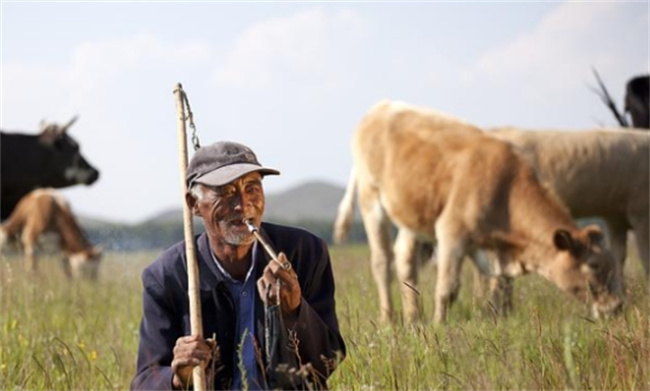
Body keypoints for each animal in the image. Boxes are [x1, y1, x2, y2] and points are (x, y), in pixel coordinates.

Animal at [334, 100, 624, 324]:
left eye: (612, 262)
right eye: (593, 265)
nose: (616, 307)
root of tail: (381, 107)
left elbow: (500, 288)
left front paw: (497, 319)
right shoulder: (451, 233)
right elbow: (448, 288)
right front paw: (439, 325)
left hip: (412, 214)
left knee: (405, 262)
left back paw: (413, 318)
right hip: (371, 201)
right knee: (382, 262)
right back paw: (389, 319)